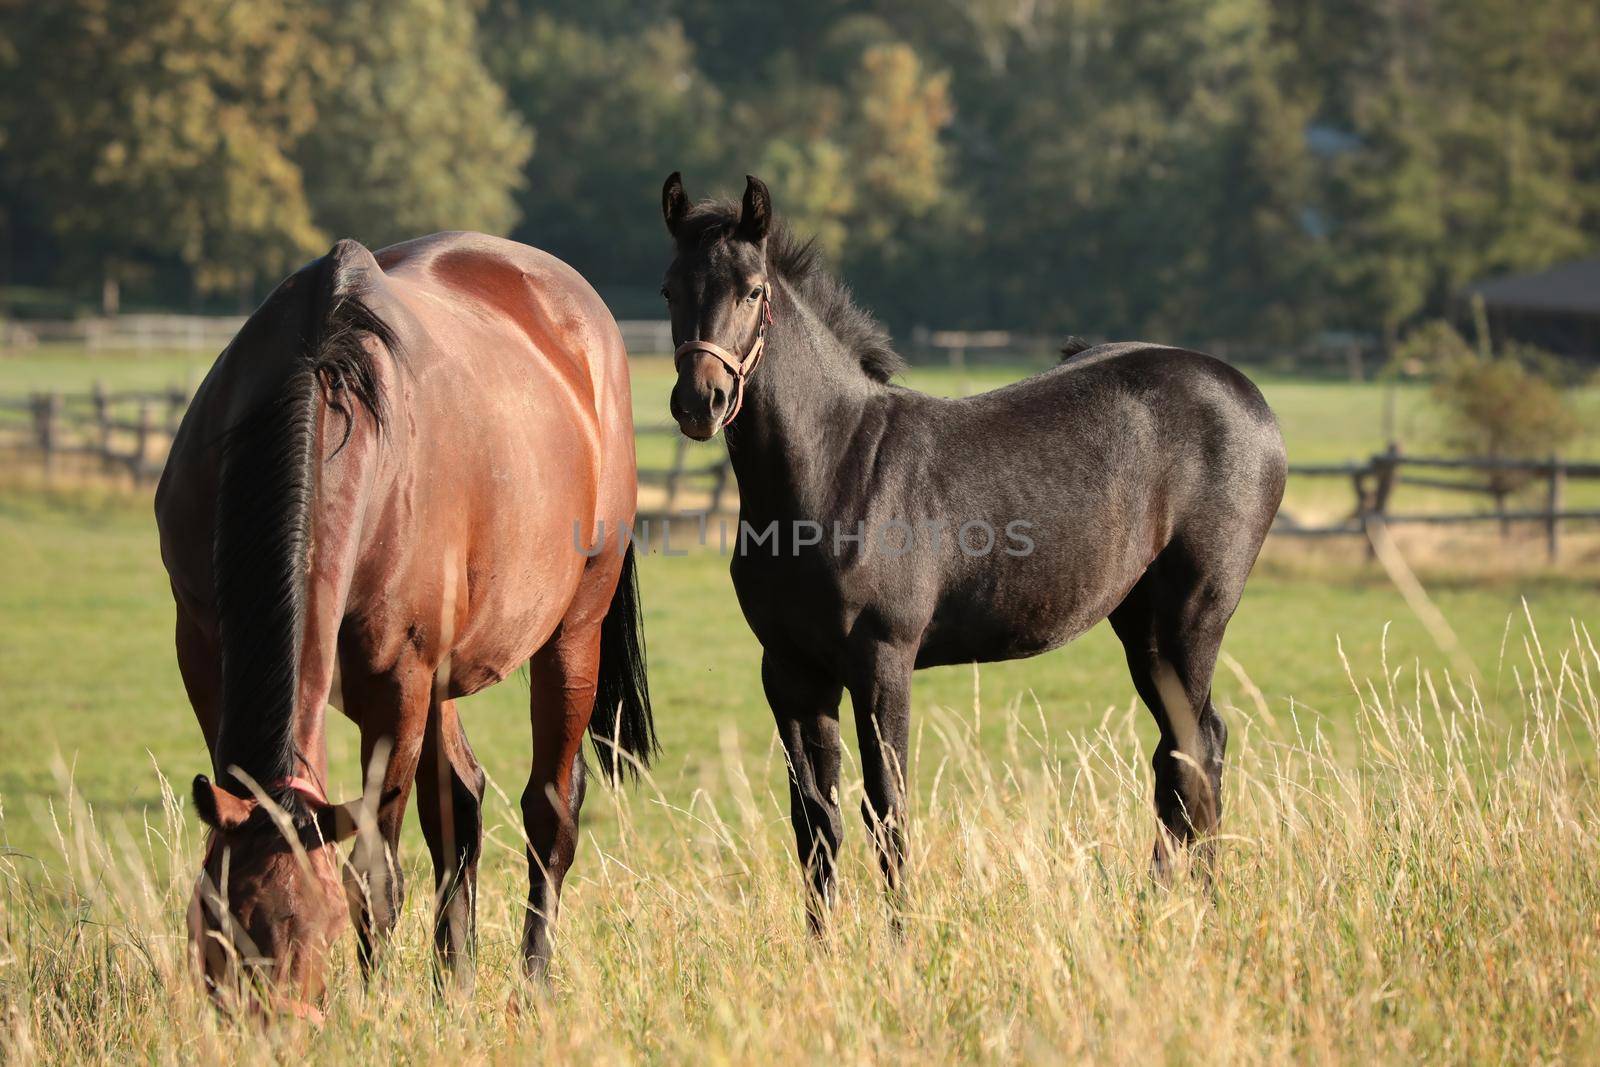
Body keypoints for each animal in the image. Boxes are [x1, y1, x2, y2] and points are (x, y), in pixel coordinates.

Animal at [150, 233, 649, 1017]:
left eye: (318, 929)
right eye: (216, 921)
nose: (274, 1027)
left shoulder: (397, 687)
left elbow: (376, 875)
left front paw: (374, 1005)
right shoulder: (202, 651)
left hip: (572, 633)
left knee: (550, 812)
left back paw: (533, 982)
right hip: (443, 675)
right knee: (462, 808)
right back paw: (456, 983)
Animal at [662, 173, 1286, 927]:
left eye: (753, 290)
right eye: (669, 288)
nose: (700, 400)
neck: (833, 467)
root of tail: (1247, 394)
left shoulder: (882, 660)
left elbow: (887, 811)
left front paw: (901, 943)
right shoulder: (788, 670)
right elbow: (815, 821)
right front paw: (823, 945)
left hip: (1192, 618)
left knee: (1198, 748)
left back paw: (1200, 905)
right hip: (1141, 623)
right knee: (1183, 751)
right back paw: (1167, 903)